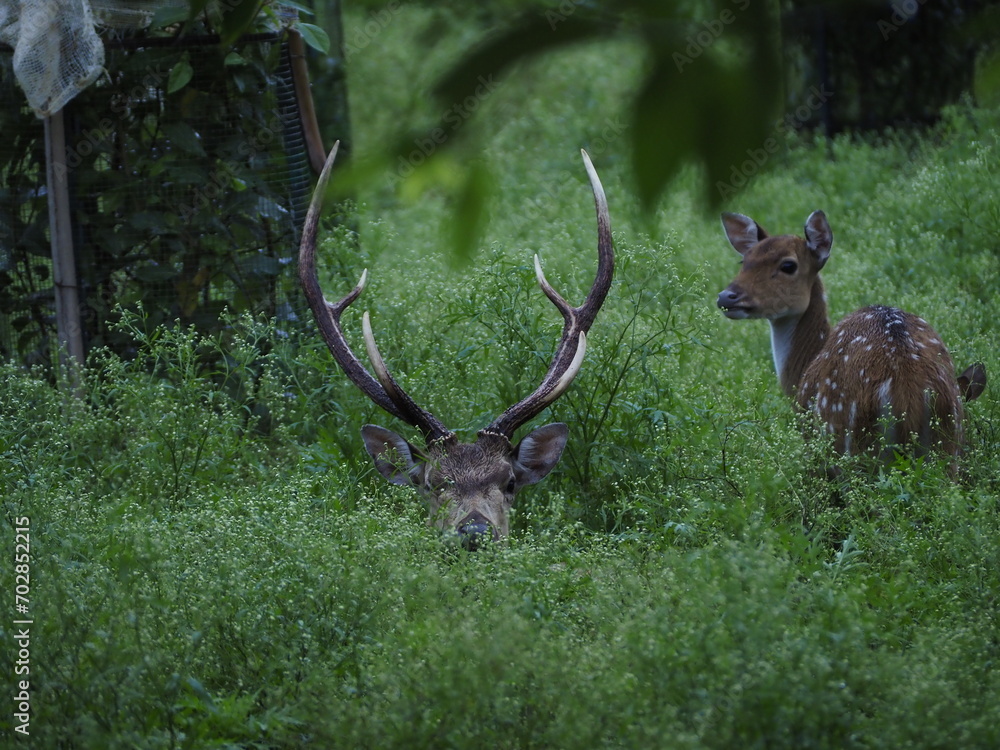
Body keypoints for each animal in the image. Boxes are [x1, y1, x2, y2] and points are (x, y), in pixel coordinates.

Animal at [716, 210, 986, 468]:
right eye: (744, 260)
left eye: (788, 265)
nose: (726, 296)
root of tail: (909, 392)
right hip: (950, 445)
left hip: (849, 444)